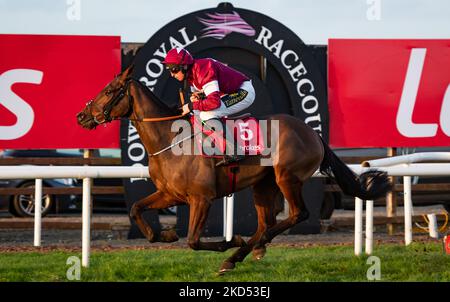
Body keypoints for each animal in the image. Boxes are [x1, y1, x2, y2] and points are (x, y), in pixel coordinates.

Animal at [76, 66, 390, 274]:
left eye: (109, 91)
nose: (81, 116)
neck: (170, 139)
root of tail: (313, 133)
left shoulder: (201, 198)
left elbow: (193, 241)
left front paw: (229, 240)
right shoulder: (170, 194)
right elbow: (136, 210)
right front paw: (164, 236)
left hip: (287, 177)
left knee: (297, 214)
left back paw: (247, 248)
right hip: (264, 184)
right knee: (265, 222)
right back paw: (243, 253)